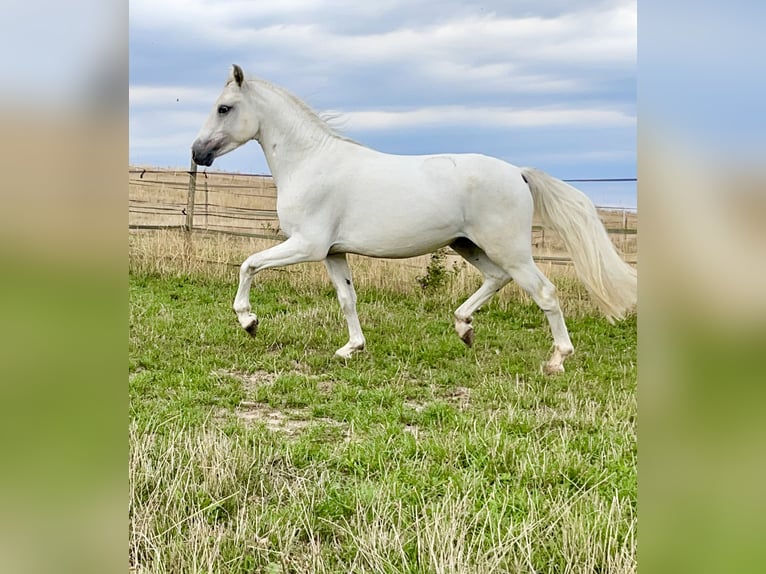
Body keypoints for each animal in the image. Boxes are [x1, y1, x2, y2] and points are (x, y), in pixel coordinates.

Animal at [192, 65, 636, 376]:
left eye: (224, 108)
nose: (198, 153)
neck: (310, 162)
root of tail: (519, 173)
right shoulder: (333, 253)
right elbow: (347, 299)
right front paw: (351, 349)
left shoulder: (307, 245)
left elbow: (248, 265)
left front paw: (249, 321)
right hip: (467, 244)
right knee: (496, 279)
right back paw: (464, 328)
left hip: (508, 249)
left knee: (544, 293)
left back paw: (556, 360)